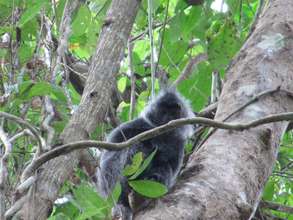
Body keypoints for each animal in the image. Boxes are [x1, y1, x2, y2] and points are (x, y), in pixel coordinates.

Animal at [96, 88, 195, 219]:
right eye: (164, 112)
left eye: (174, 113)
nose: (168, 119)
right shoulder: (136, 124)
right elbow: (110, 156)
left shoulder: (178, 142)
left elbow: (170, 166)